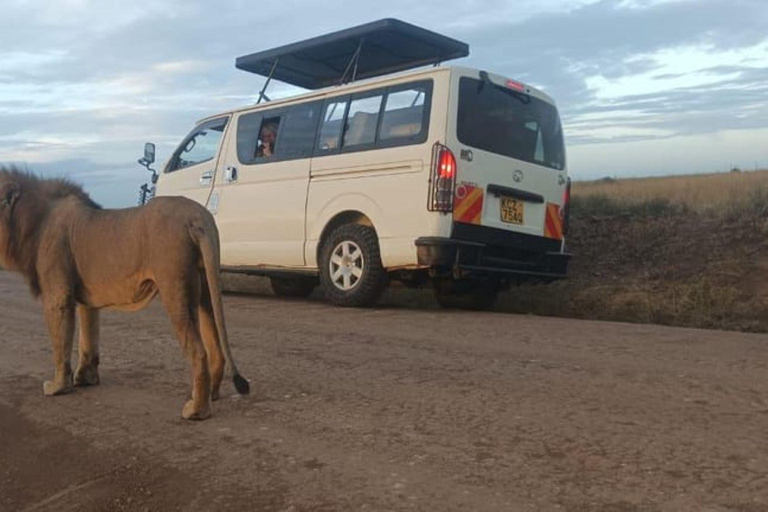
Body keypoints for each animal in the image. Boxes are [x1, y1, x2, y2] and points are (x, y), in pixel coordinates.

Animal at [0, 168, 249, 420]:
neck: (32, 221)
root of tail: (197, 216)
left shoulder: (58, 297)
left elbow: (61, 345)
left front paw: (58, 387)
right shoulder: (86, 299)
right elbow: (88, 339)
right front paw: (85, 379)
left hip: (175, 289)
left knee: (199, 353)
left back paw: (197, 410)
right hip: (205, 288)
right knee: (216, 349)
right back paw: (212, 395)